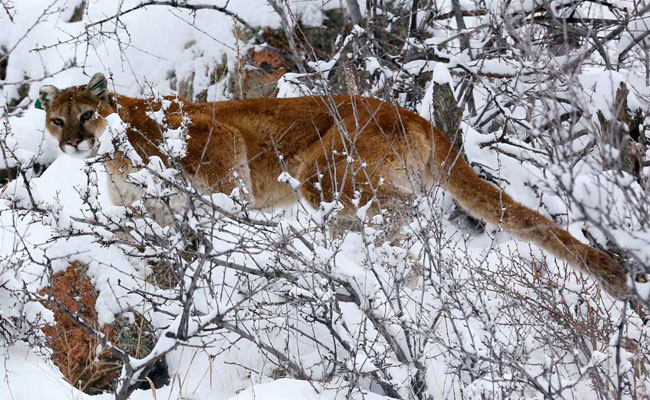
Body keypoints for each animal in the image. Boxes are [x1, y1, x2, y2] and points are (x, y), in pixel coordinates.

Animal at [36, 72, 629, 298]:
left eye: (87, 114)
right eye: (57, 120)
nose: (73, 143)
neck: (115, 157)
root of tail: (415, 114)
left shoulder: (219, 140)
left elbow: (226, 198)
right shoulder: (147, 211)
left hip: (322, 174)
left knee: (405, 208)